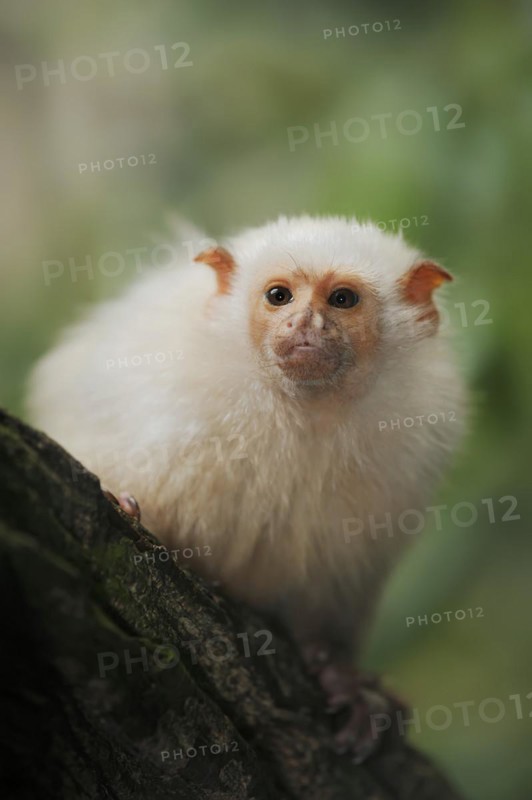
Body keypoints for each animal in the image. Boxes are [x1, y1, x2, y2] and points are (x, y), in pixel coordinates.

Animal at [27, 215, 466, 762]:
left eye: (342, 300)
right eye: (279, 296)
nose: (306, 324)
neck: (302, 410)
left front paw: (340, 672)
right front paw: (127, 504)